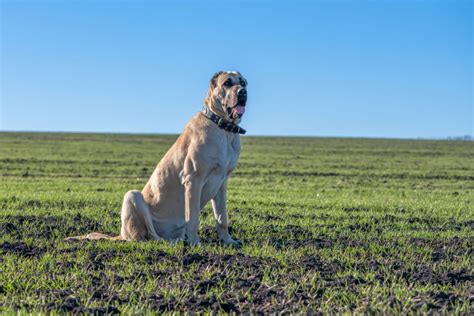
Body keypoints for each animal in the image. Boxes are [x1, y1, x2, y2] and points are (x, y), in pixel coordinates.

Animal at [68, 70, 250, 246]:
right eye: (227, 83)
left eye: (243, 82)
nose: (242, 92)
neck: (224, 130)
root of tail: (120, 235)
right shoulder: (193, 180)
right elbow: (192, 218)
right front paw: (194, 243)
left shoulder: (221, 182)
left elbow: (222, 217)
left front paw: (227, 240)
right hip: (132, 196)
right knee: (147, 237)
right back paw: (173, 241)